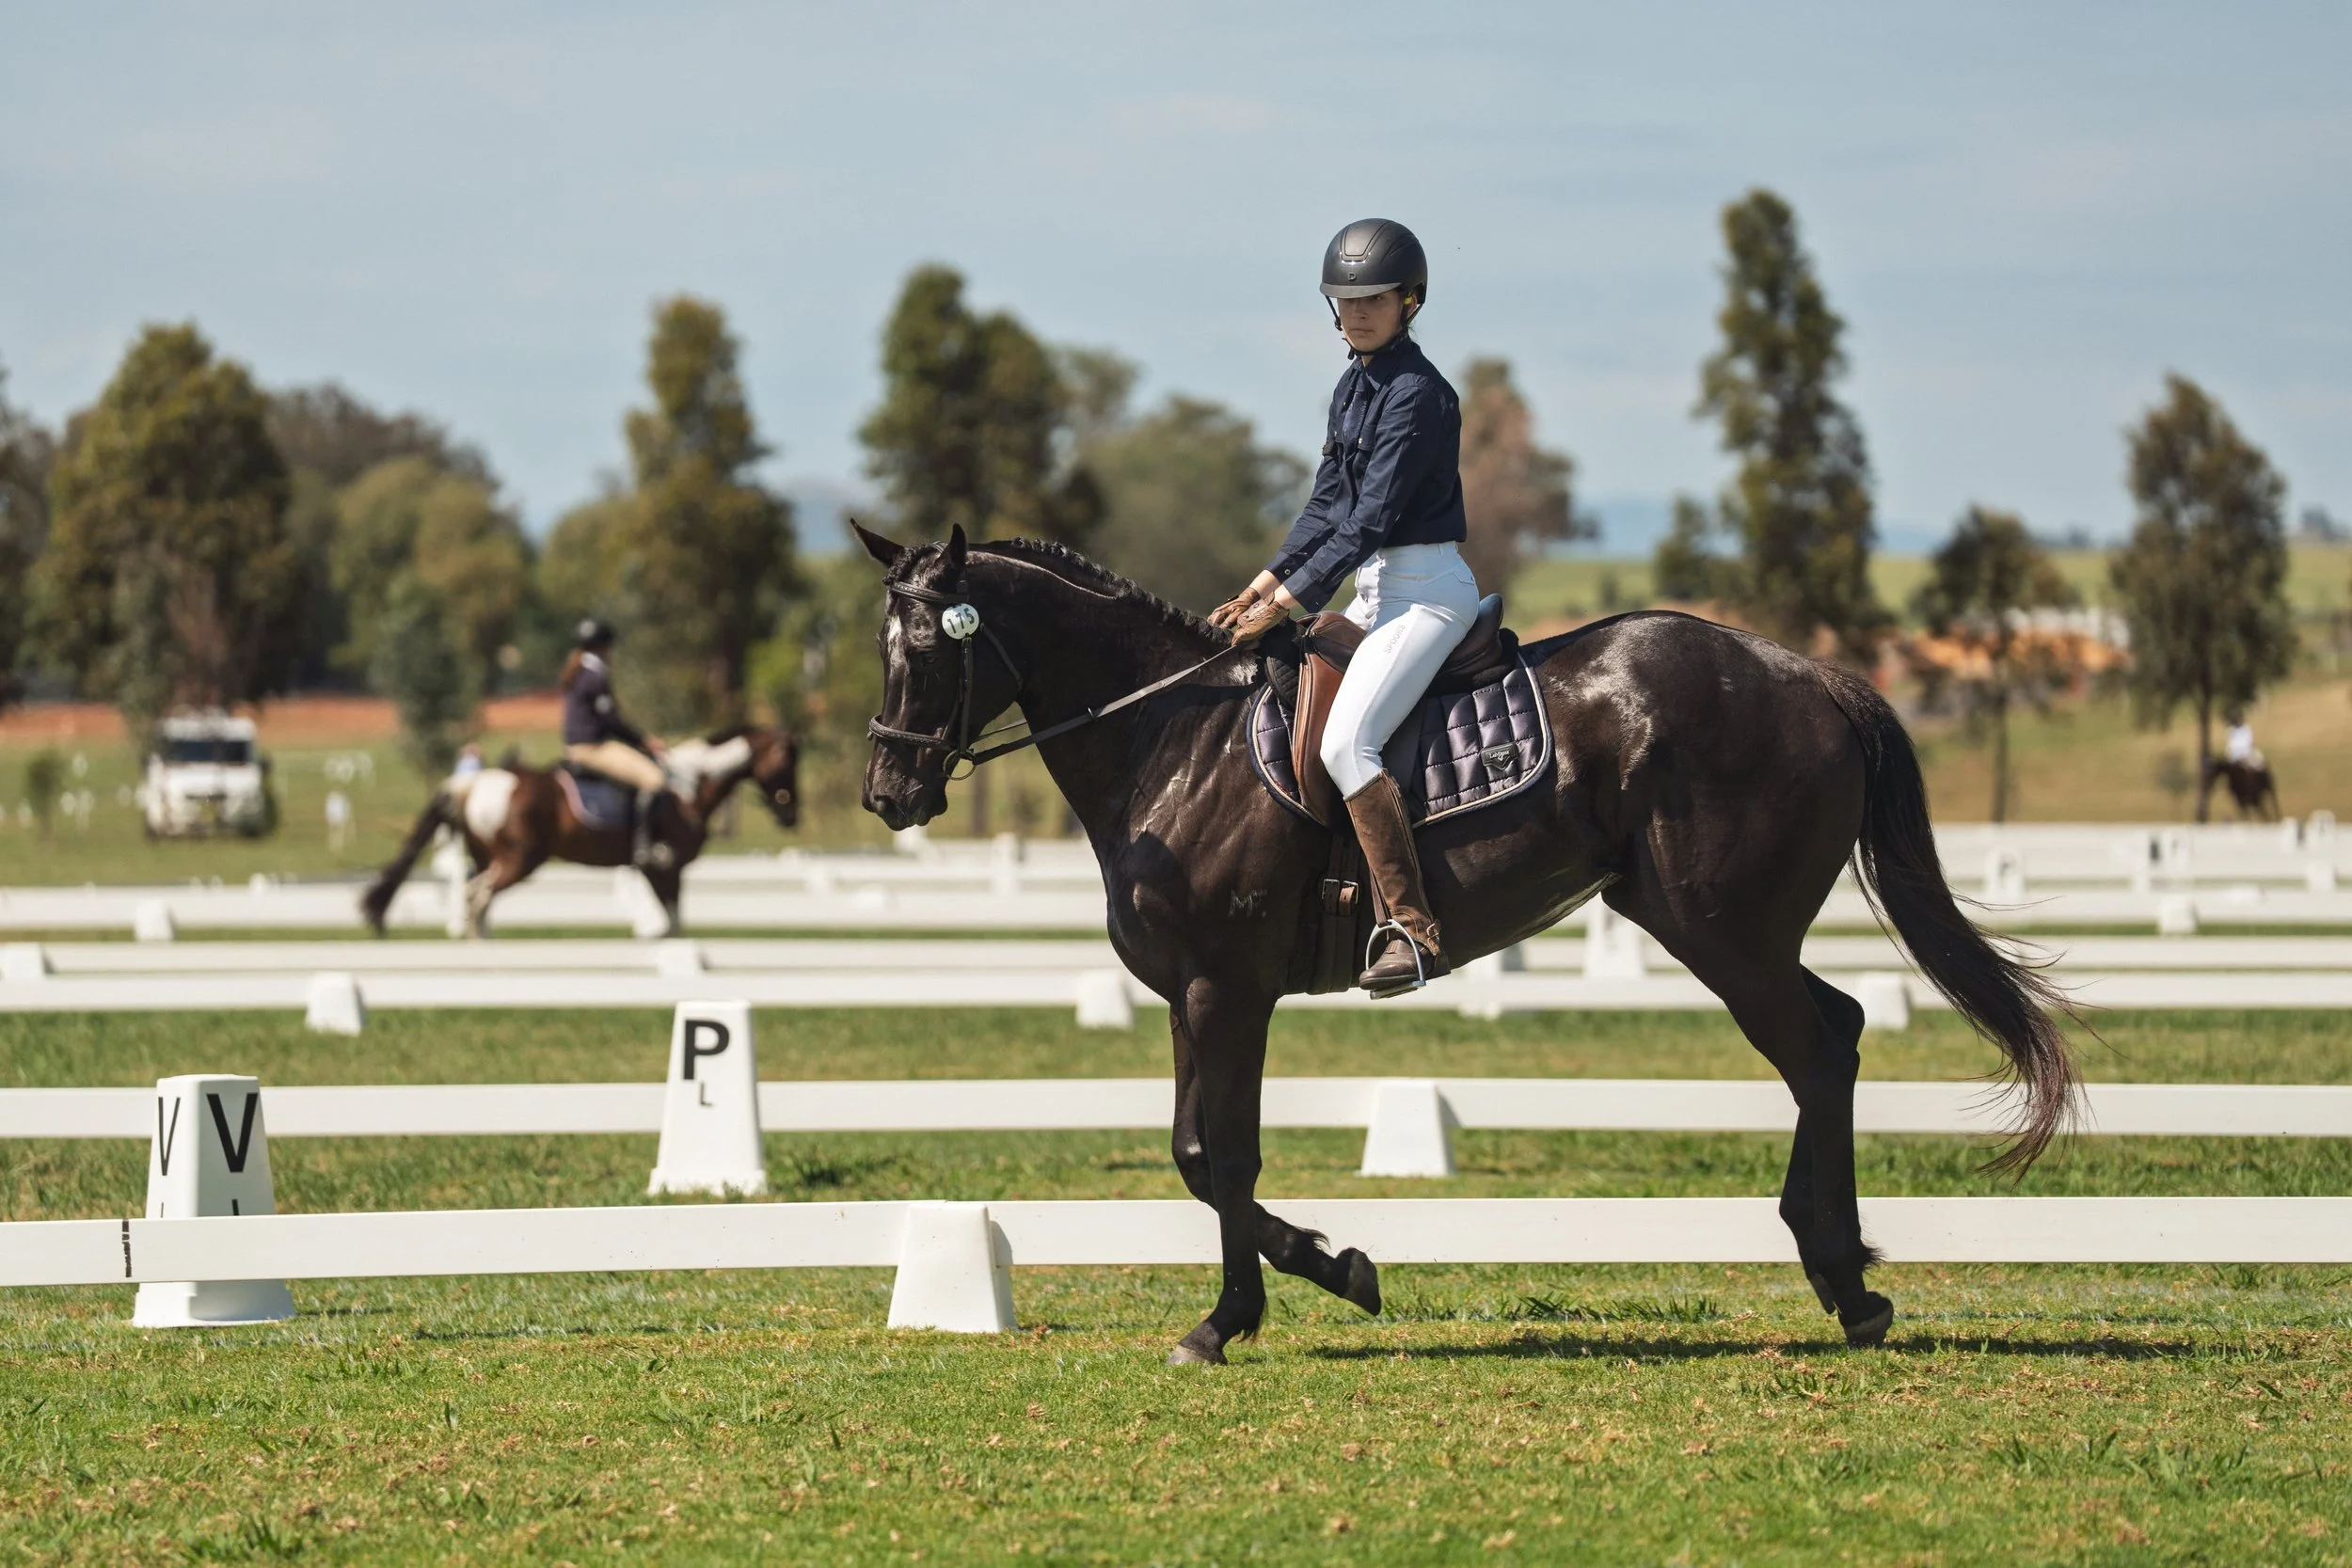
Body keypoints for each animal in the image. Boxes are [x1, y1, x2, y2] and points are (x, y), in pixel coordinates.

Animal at [360, 727, 801, 938]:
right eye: (786, 762)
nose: (791, 815)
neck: (689, 787)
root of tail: (474, 783)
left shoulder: (655, 870)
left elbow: (671, 922)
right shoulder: (668, 866)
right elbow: (675, 923)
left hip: (488, 857)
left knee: (476, 897)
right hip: (519, 861)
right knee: (477, 896)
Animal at [855, 523, 2078, 1365]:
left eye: (931, 646)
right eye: (883, 646)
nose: (885, 793)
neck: (1171, 738)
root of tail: (1808, 674)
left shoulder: (1226, 988)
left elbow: (1223, 1157)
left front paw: (1272, 1300)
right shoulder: (1190, 994)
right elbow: (1197, 1153)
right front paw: (1298, 1287)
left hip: (1722, 926)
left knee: (1818, 1045)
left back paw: (1847, 1283)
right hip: (1708, 920)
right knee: (1835, 1032)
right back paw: (1842, 1270)